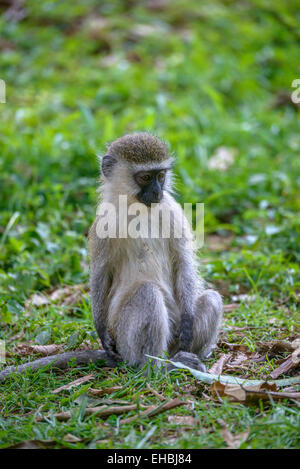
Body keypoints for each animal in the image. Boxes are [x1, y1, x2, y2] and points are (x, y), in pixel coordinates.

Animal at [88, 132, 221, 370]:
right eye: (145, 177)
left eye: (160, 176)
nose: (158, 192)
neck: (137, 207)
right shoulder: (103, 222)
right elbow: (100, 273)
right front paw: (101, 332)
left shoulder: (173, 210)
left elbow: (183, 261)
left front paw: (188, 322)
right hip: (123, 338)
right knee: (147, 293)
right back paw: (158, 367)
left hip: (174, 335)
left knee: (211, 299)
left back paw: (184, 358)